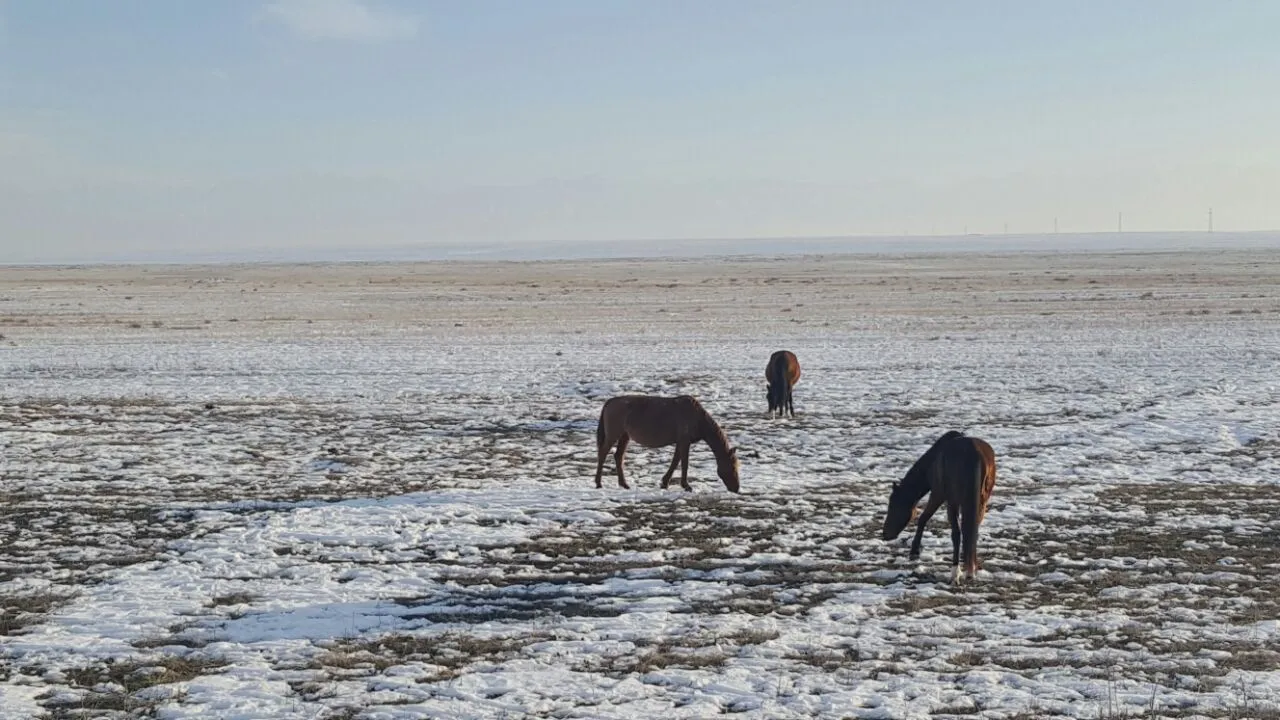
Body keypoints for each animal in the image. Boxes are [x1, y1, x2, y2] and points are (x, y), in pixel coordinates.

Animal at [591, 394, 742, 489]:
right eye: (732, 467)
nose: (736, 488)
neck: (697, 418)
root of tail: (610, 402)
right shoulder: (684, 441)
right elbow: (684, 464)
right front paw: (686, 486)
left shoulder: (680, 442)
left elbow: (675, 462)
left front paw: (665, 483)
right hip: (613, 435)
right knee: (602, 454)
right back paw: (598, 483)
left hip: (624, 436)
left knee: (618, 456)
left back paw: (624, 484)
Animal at [880, 427, 998, 579]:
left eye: (893, 505)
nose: (885, 534)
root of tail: (974, 453)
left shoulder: (937, 495)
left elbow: (923, 518)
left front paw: (914, 551)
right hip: (980, 502)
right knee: (972, 530)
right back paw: (971, 569)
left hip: (952, 502)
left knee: (956, 533)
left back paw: (955, 572)